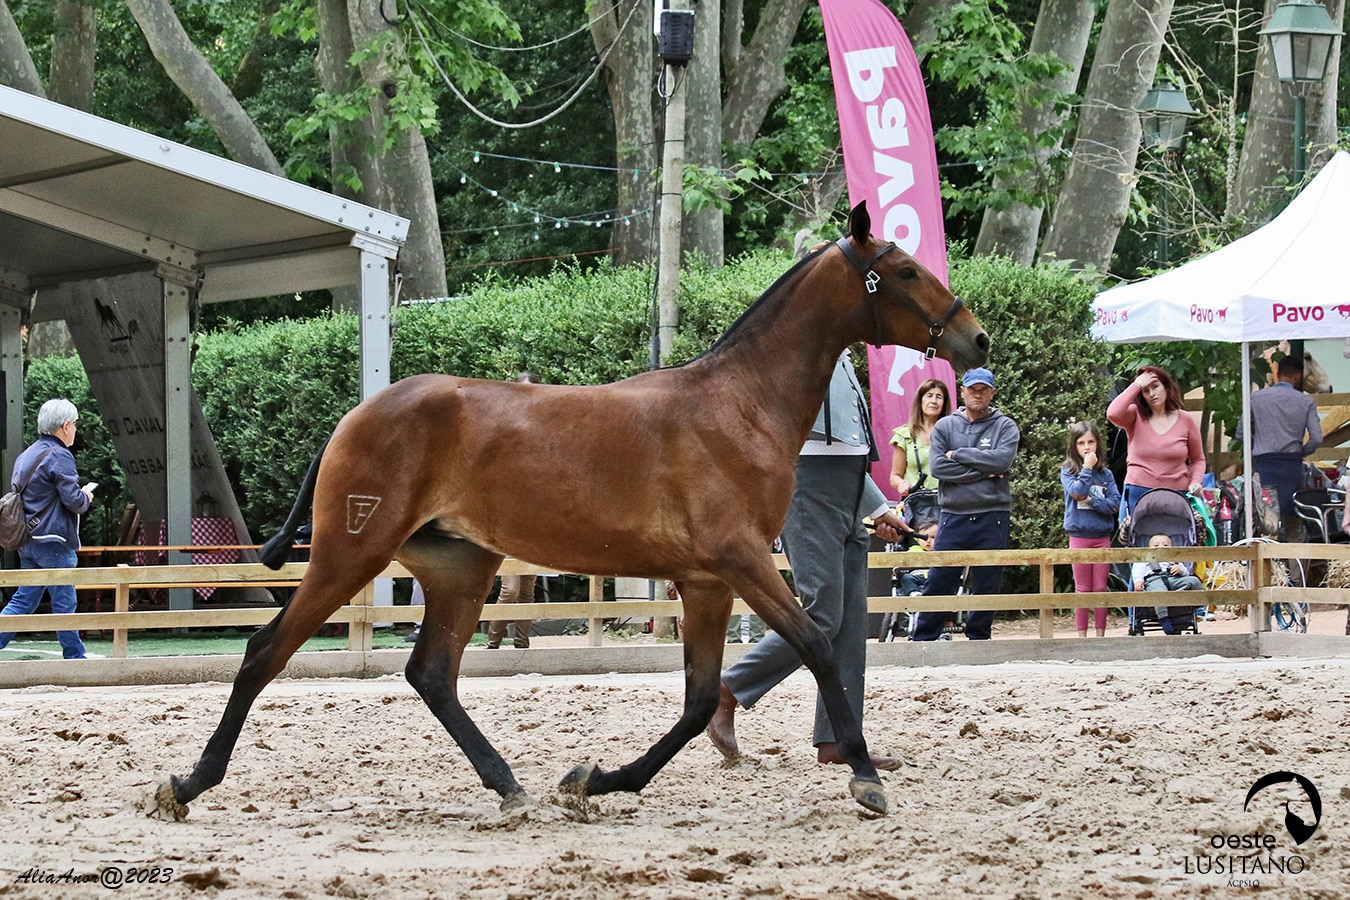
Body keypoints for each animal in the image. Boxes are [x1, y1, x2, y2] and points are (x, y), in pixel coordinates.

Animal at [154, 201, 988, 820]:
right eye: (904, 270)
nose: (975, 337)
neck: (739, 405)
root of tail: (356, 416)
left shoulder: (706, 581)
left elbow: (698, 701)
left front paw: (596, 780)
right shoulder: (742, 560)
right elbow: (816, 644)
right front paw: (866, 777)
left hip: (461, 567)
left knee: (432, 674)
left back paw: (511, 786)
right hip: (351, 551)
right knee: (266, 651)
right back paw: (188, 784)